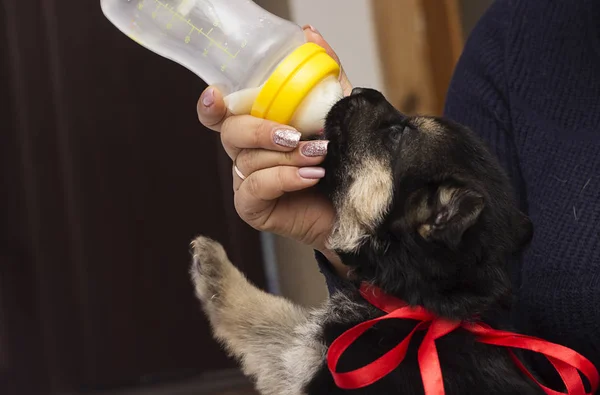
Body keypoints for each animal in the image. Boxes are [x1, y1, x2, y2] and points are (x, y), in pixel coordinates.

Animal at [190, 88, 548, 394]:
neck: (416, 303)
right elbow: (272, 322)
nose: (361, 90)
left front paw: (215, 267)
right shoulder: (313, 355)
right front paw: (213, 265)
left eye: (399, 133)